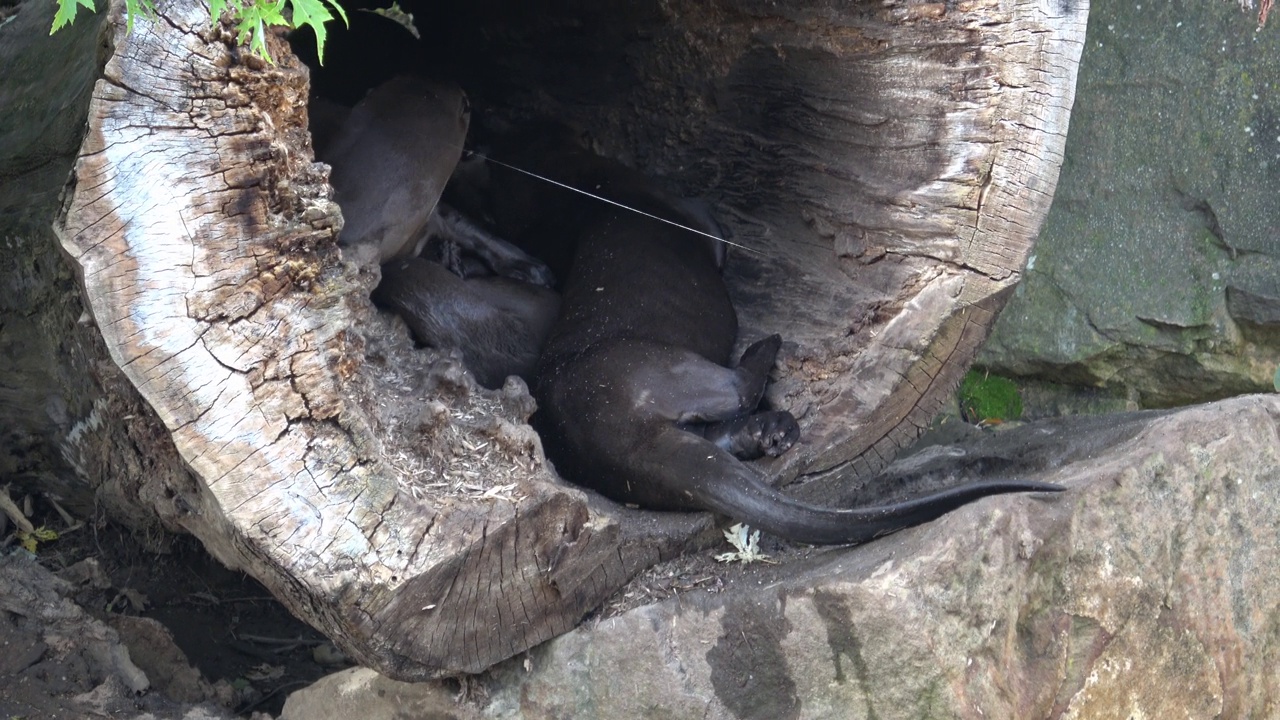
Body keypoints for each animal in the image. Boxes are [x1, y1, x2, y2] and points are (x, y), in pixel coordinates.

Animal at [529, 154, 1059, 540]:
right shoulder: (696, 214)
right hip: (659, 369)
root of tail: (613, 436)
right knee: (738, 389)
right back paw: (768, 365)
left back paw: (772, 433)